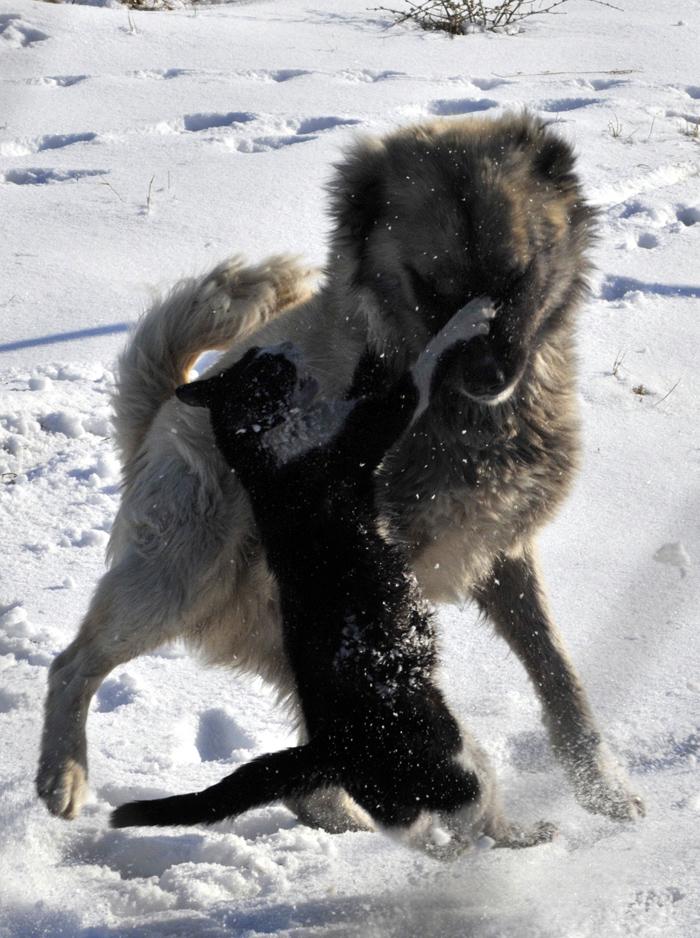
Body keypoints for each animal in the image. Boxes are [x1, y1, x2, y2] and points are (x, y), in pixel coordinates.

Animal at [37, 111, 640, 832]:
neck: (468, 421)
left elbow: (557, 674)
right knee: (73, 663)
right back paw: (63, 773)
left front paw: (602, 788)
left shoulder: (503, 553)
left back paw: (348, 813)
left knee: (307, 764)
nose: (490, 375)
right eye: (430, 285)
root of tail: (157, 418)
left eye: (516, 279)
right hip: (185, 576)